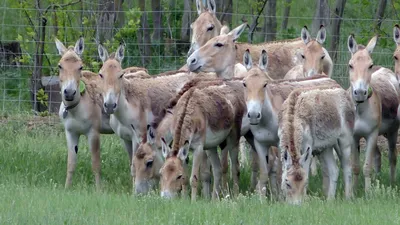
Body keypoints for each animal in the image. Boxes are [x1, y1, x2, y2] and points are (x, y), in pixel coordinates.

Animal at [53, 37, 112, 189]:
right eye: (60, 66)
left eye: (80, 67)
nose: (69, 93)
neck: (75, 109)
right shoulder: (71, 133)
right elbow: (71, 163)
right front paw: (67, 188)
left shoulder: (93, 132)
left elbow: (96, 163)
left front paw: (99, 190)